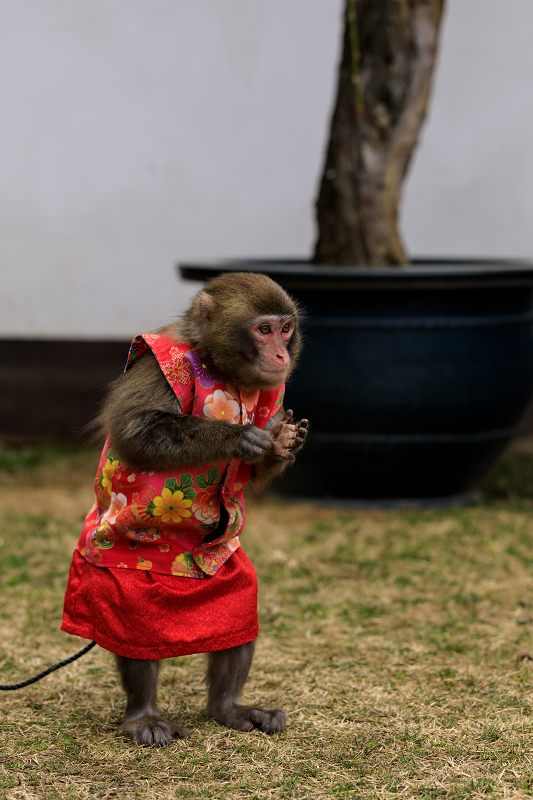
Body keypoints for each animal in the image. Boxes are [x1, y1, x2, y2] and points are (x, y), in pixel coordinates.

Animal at [62, 272, 310, 748]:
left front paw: (281, 443)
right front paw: (237, 438)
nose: (281, 354)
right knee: (135, 629)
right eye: (263, 330)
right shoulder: (156, 371)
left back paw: (229, 708)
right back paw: (143, 716)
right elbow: (135, 430)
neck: (220, 369)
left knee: (238, 606)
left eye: (286, 328)